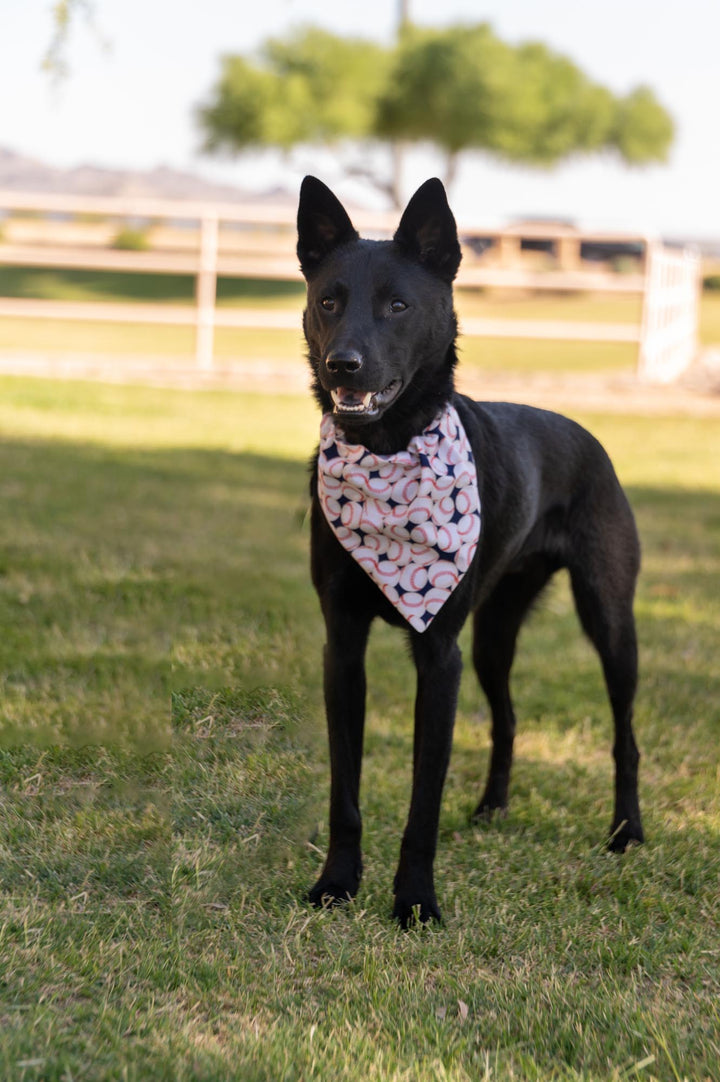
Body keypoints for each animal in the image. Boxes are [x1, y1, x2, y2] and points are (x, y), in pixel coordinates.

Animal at [294, 173, 640, 926]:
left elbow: (422, 801)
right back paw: (491, 810)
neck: (388, 449)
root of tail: (587, 435)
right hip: (493, 633)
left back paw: (627, 833)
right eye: (329, 300)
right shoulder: (343, 649)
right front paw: (337, 884)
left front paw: (415, 901)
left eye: (397, 305)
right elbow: (344, 792)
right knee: (507, 718)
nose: (342, 366)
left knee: (624, 732)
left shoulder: (439, 656)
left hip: (608, 621)